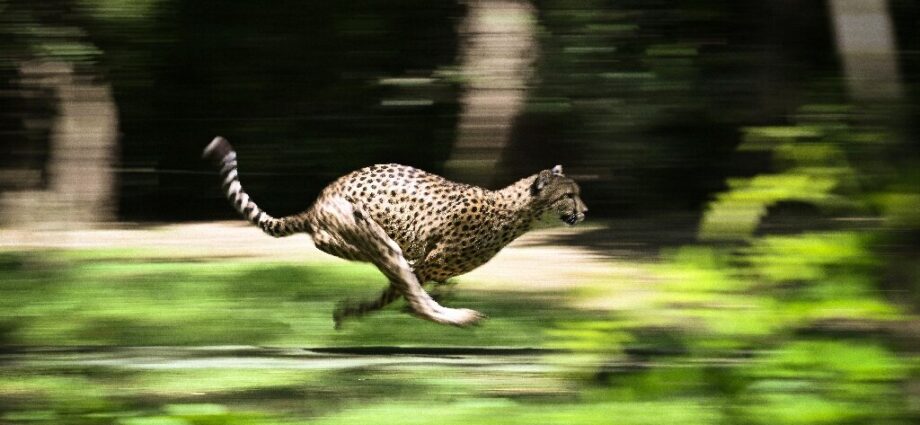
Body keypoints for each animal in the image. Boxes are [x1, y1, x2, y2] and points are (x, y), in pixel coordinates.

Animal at [203, 136, 587, 328]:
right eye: (568, 195)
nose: (585, 211)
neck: (514, 214)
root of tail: (317, 203)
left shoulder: (424, 266)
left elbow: (394, 293)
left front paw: (352, 311)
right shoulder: (426, 262)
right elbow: (405, 293)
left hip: (377, 246)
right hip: (375, 237)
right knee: (413, 296)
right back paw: (458, 318)